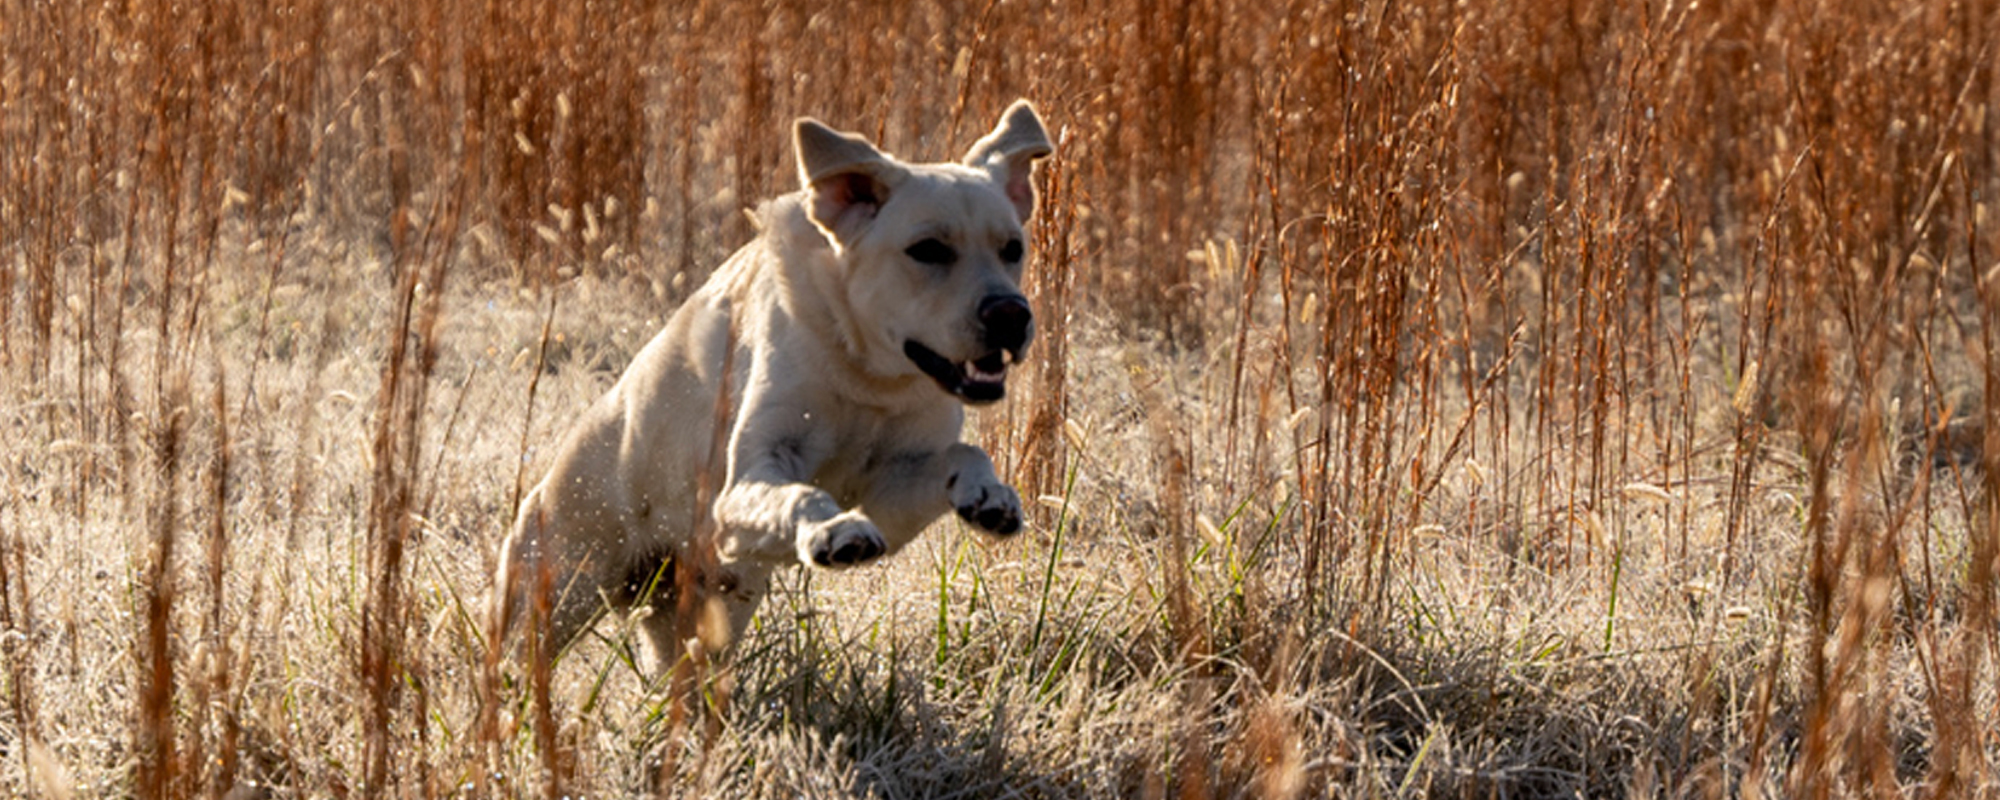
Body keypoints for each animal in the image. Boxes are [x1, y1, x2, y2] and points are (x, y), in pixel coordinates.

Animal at [494, 101, 1056, 676]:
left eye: (1013, 249)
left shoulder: (889, 497)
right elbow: (801, 495)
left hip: (710, 614)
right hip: (555, 594)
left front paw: (989, 495)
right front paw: (835, 533)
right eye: (927, 250)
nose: (1012, 315)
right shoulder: (743, 486)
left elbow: (964, 454)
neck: (869, 376)